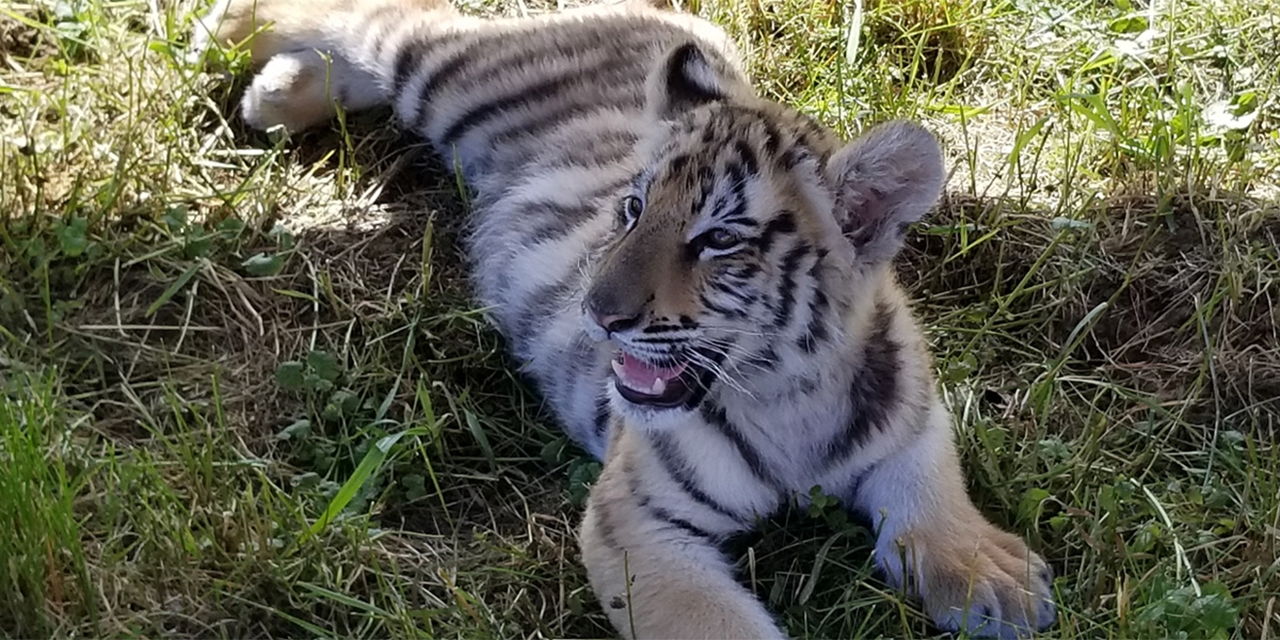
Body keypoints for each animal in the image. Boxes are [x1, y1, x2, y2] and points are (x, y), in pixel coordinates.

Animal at [192, 0, 1058, 637]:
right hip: (449, 69)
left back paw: (273, 96)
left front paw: (994, 580)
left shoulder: (912, 415)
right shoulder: (636, 522)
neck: (792, 393)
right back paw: (228, 40)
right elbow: (724, 624)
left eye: (717, 241)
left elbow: (930, 487)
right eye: (632, 211)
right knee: (382, 18)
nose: (596, 314)